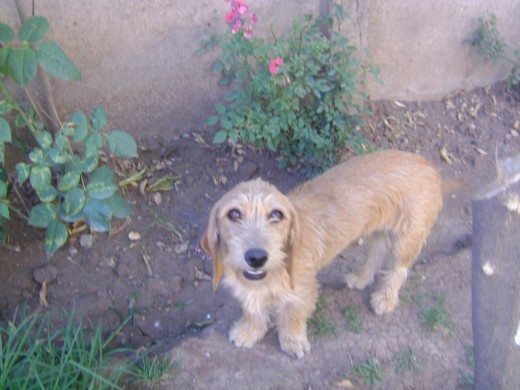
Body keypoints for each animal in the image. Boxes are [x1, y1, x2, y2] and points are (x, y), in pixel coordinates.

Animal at [201, 150, 440, 360]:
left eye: (276, 214)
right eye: (234, 214)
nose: (257, 257)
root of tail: (427, 163)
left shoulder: (302, 291)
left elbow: (293, 316)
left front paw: (293, 341)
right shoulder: (249, 290)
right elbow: (253, 311)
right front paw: (249, 332)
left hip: (407, 239)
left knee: (398, 269)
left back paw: (385, 299)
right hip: (376, 230)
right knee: (377, 250)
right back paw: (361, 278)